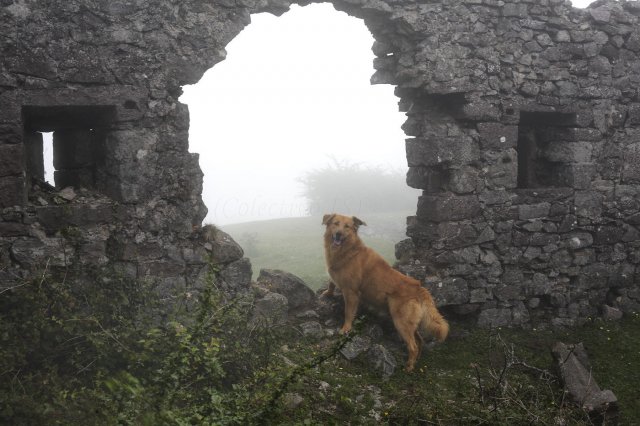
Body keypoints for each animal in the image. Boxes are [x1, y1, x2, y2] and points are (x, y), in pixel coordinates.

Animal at [320, 215, 450, 372]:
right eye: (336, 224)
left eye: (347, 227)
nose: (338, 234)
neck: (349, 250)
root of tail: (418, 287)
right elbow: (331, 283)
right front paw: (328, 293)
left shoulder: (351, 293)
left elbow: (348, 313)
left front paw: (346, 328)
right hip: (410, 324)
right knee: (420, 341)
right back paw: (416, 361)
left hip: (401, 322)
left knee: (413, 346)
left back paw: (409, 367)